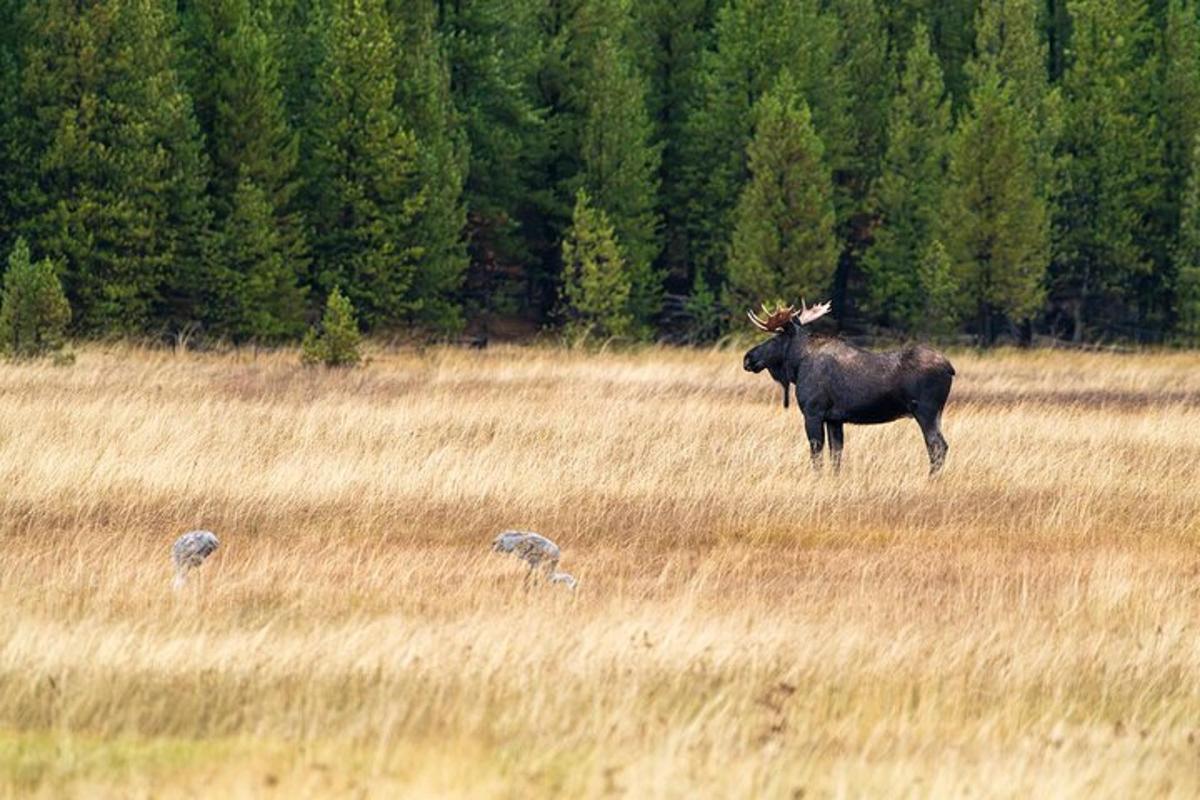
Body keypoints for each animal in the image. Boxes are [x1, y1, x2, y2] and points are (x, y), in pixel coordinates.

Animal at [739, 299, 955, 474]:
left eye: (776, 336)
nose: (748, 357)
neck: (797, 365)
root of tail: (950, 368)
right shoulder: (834, 419)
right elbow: (836, 456)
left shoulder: (813, 412)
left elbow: (816, 455)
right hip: (936, 413)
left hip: (925, 411)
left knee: (937, 447)